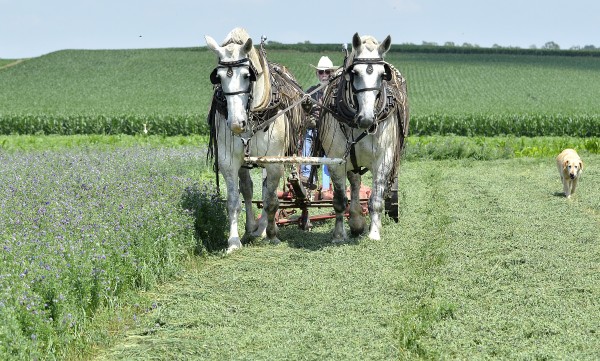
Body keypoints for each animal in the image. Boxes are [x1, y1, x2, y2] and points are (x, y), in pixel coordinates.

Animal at [206, 28, 308, 252]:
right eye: (218, 77)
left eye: (247, 75)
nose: (236, 123)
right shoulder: (228, 161)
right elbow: (234, 201)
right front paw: (233, 241)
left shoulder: (274, 162)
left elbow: (270, 200)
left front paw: (271, 234)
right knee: (249, 189)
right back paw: (251, 228)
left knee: (268, 191)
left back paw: (264, 228)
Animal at [318, 33, 408, 242]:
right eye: (355, 73)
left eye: (382, 74)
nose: (366, 118)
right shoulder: (336, 160)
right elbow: (340, 199)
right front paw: (339, 234)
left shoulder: (384, 159)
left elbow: (376, 199)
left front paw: (374, 232)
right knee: (355, 183)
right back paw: (356, 220)